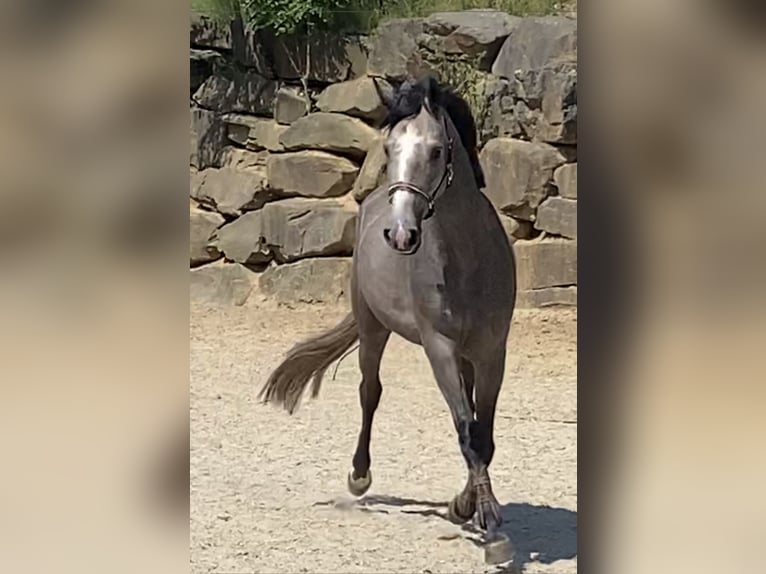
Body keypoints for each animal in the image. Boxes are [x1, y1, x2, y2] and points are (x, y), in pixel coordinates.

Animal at [260, 76, 520, 564]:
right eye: (388, 148)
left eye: (436, 150)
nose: (401, 235)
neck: (467, 260)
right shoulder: (440, 349)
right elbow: (466, 430)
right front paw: (490, 527)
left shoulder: (491, 352)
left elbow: (484, 435)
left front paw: (468, 507)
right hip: (373, 327)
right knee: (370, 392)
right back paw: (359, 476)